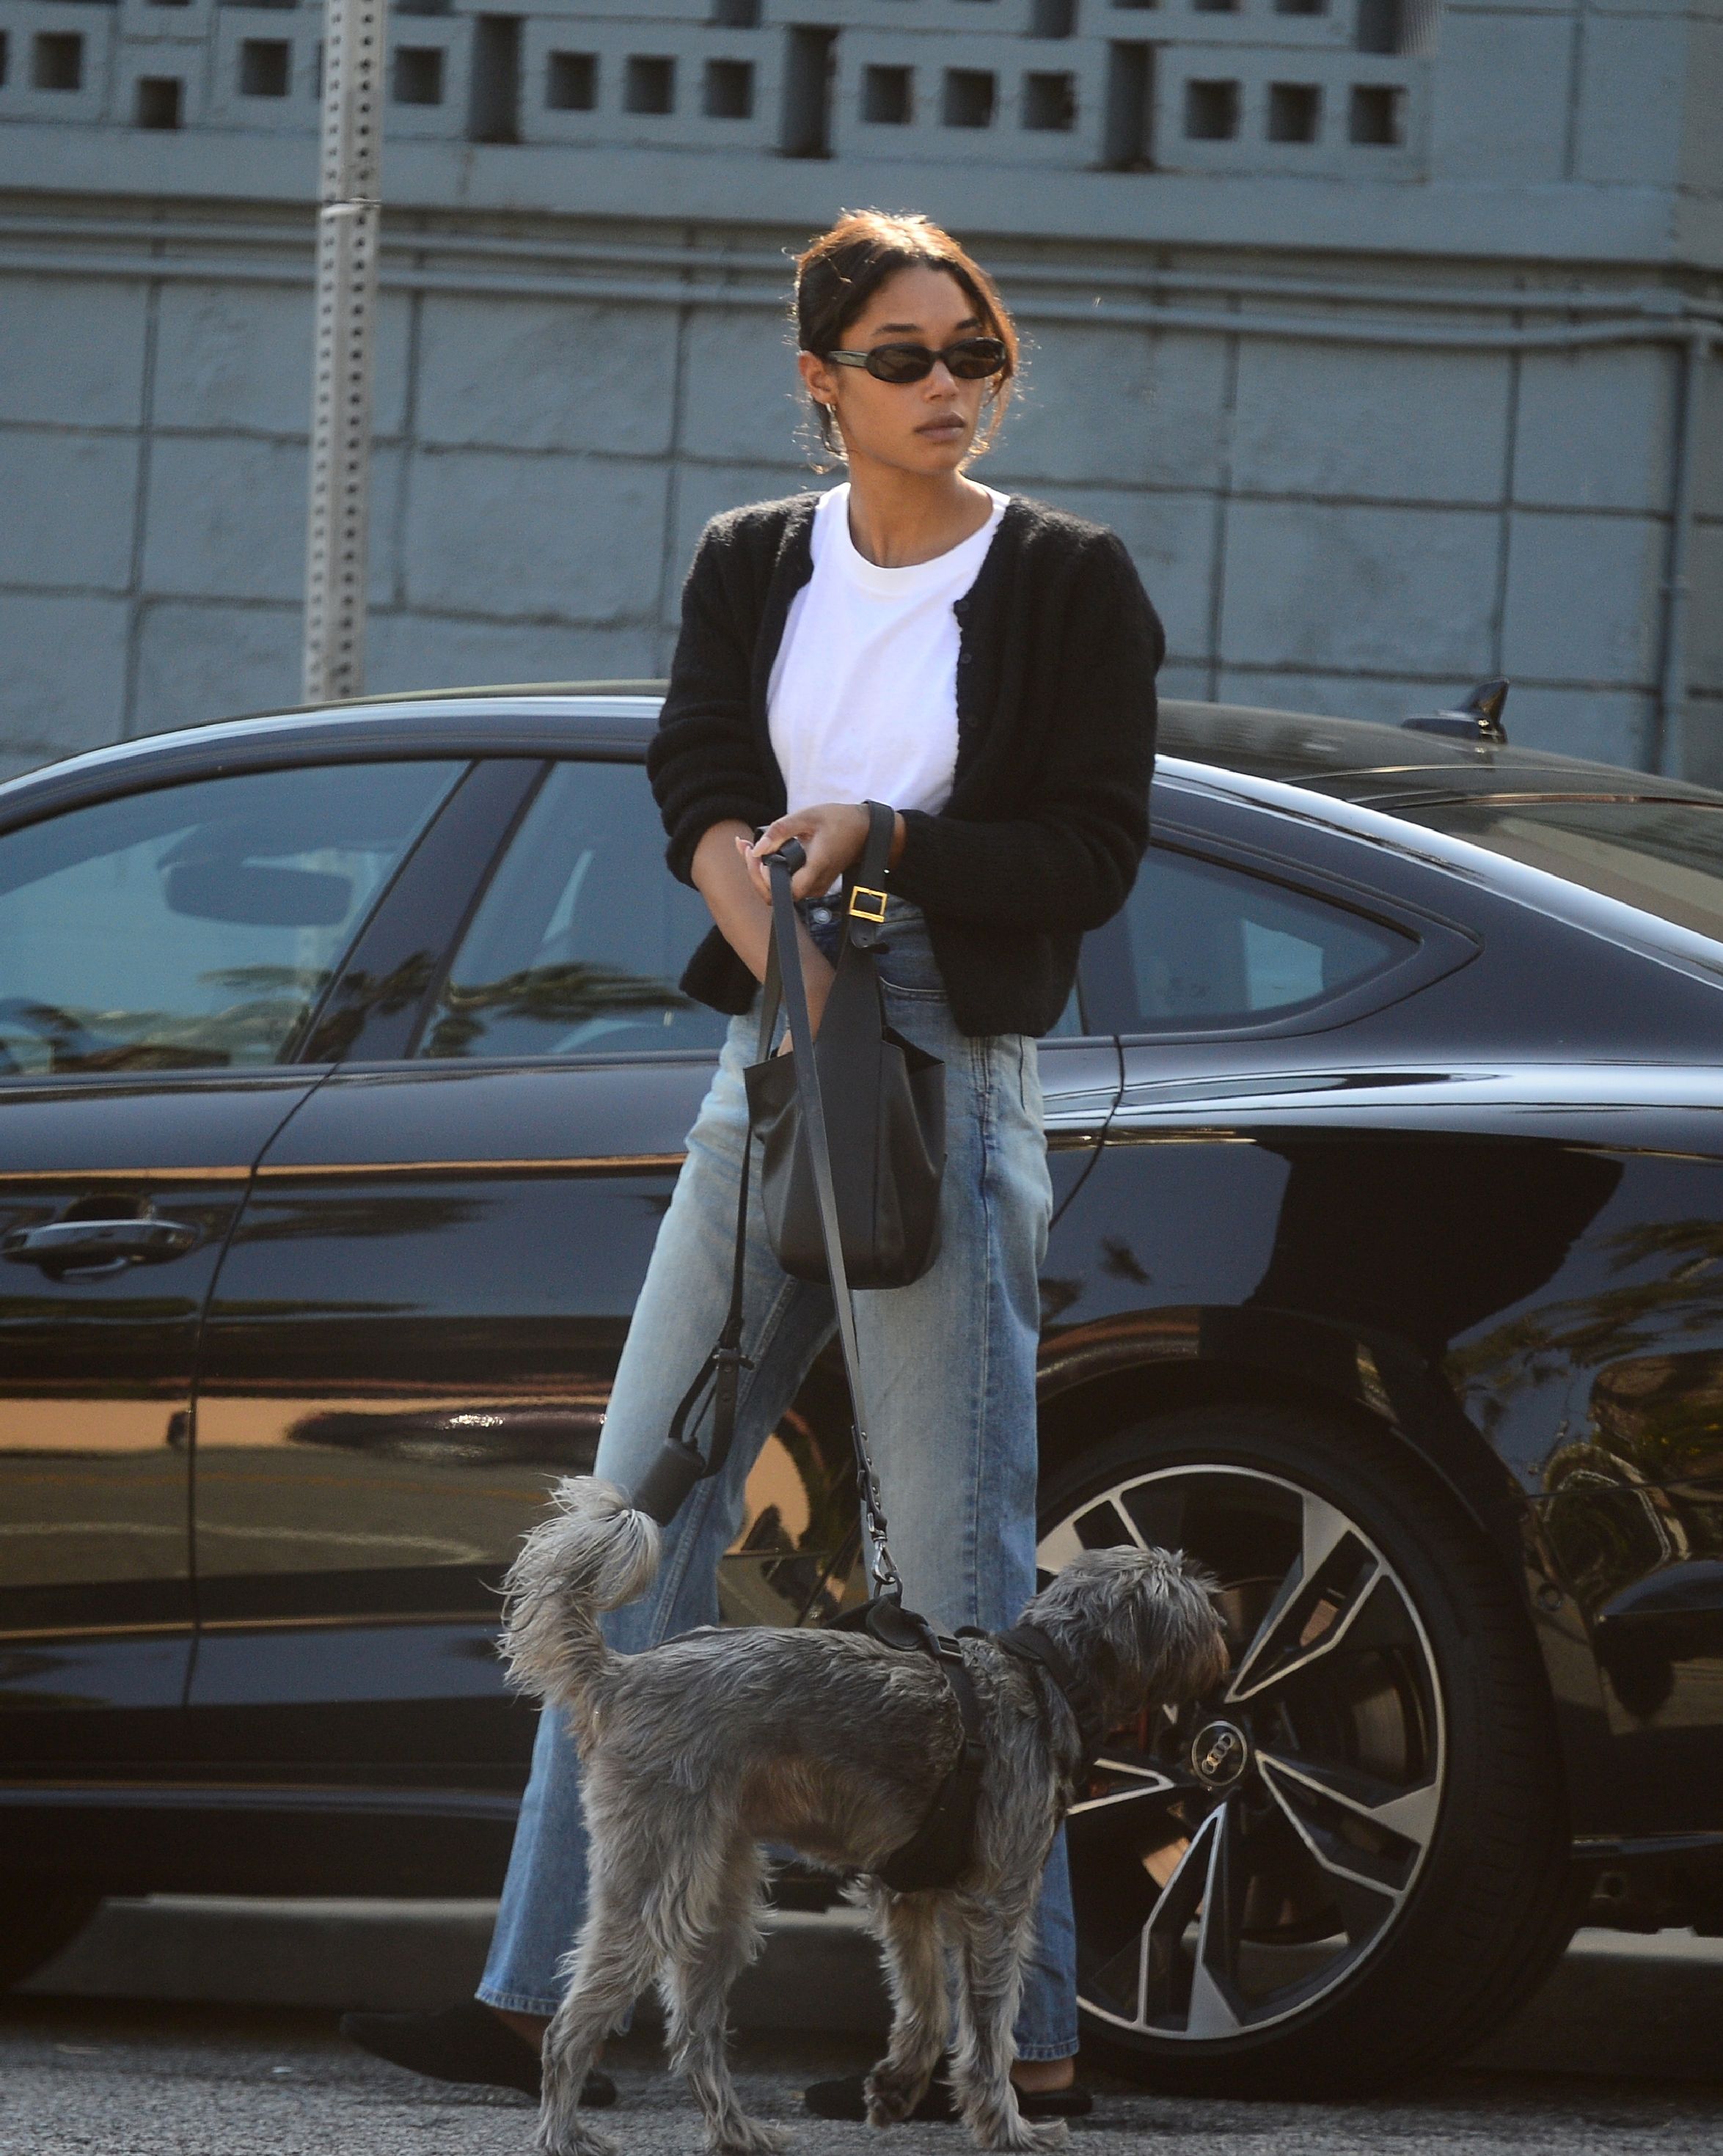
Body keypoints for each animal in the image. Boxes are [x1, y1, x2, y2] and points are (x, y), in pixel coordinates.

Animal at [504, 1483, 1233, 2156]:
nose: (1226, 1624)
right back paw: (564, 2132)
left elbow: (927, 2005)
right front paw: (1006, 2128)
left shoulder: (904, 1894)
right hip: (660, 1880)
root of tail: (621, 1674)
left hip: (722, 1900)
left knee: (693, 2032)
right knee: (572, 2025)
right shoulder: (995, 1906)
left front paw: (896, 2086)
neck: (1043, 1670)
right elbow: (988, 2034)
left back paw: (736, 2131)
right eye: (1190, 1595)